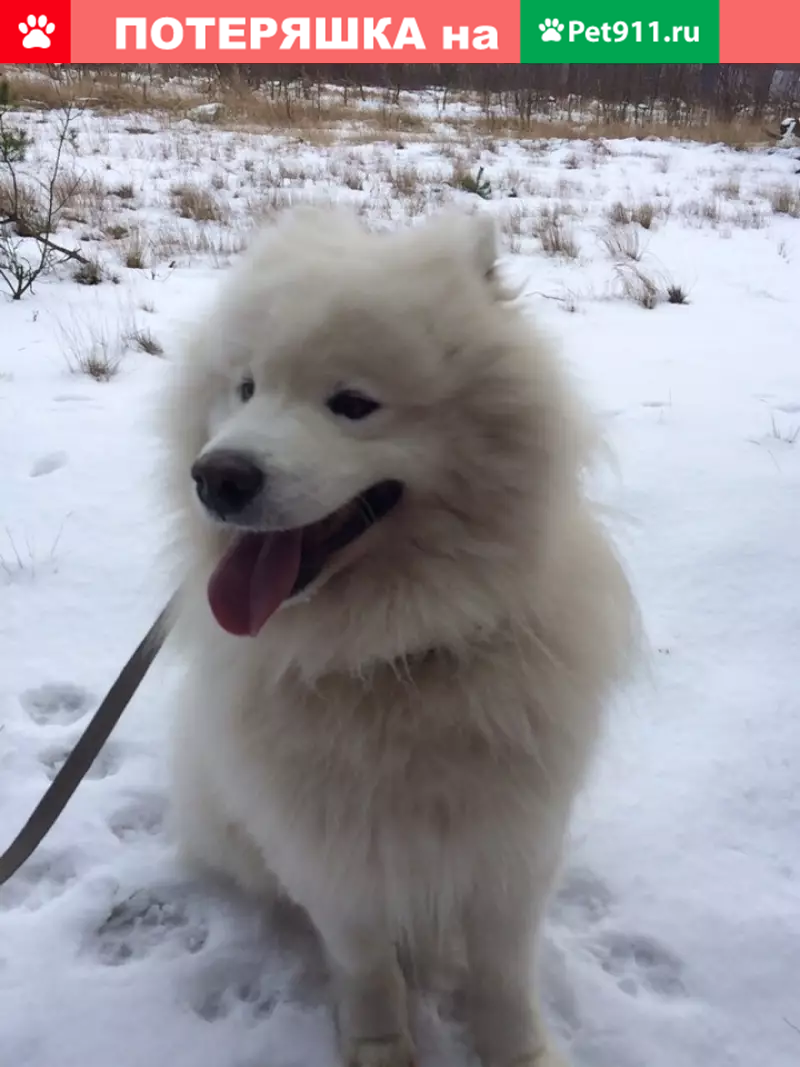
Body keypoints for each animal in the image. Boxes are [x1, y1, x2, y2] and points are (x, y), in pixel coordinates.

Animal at [161, 208, 640, 1067]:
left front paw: (519, 1051)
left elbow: (503, 971)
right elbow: (365, 962)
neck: (391, 652)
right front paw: (381, 1045)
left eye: (352, 403)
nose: (217, 476)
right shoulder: (331, 850)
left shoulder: (512, 843)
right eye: (245, 388)